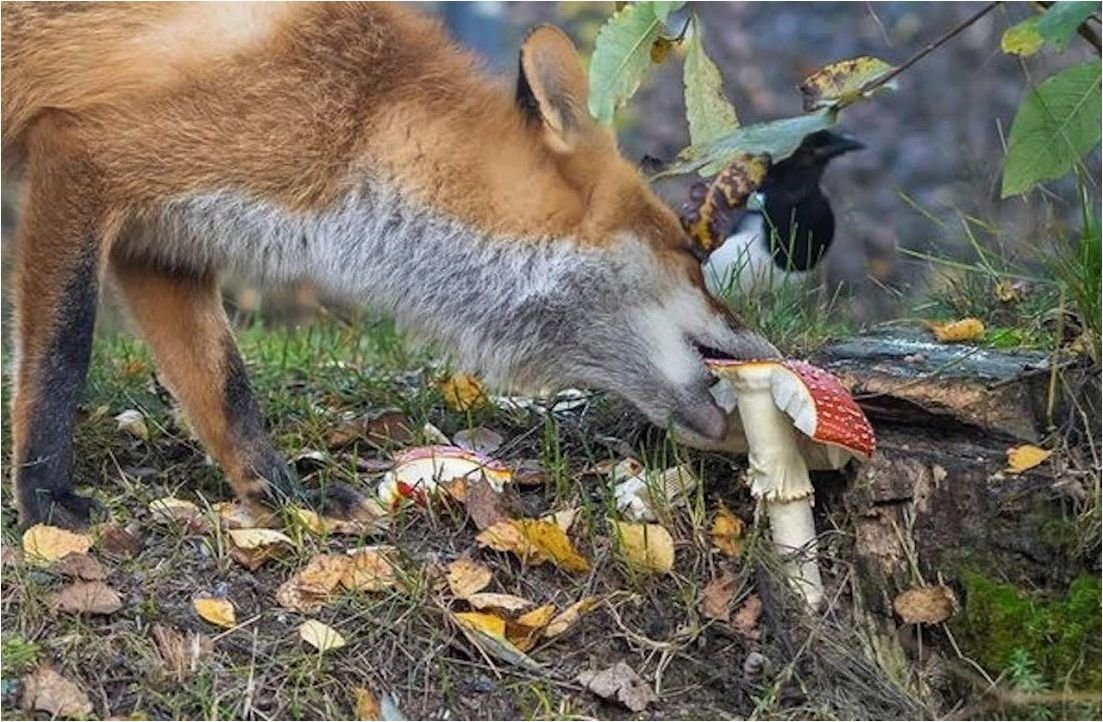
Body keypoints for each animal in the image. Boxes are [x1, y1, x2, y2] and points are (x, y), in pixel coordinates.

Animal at [1, 2, 777, 530]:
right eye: (691, 254)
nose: (773, 351)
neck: (360, 120)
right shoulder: (86, 154)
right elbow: (63, 351)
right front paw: (44, 499)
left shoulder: (162, 243)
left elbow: (225, 389)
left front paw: (283, 496)